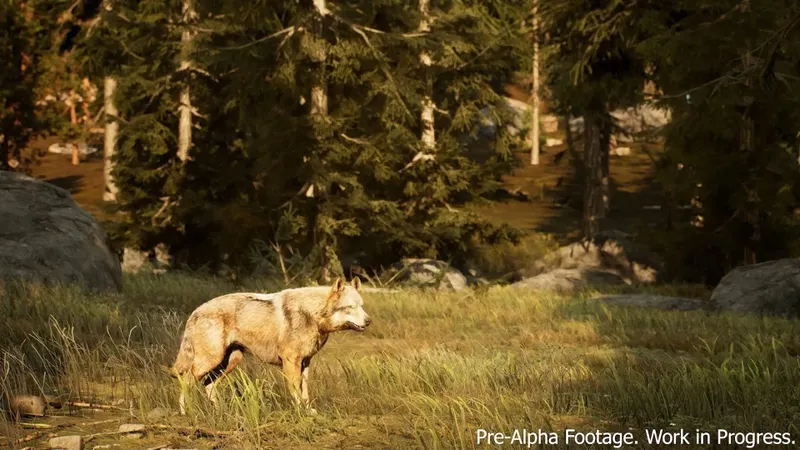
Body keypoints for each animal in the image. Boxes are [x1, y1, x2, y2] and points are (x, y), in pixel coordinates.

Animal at [171, 277, 371, 415]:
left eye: (361, 305)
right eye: (350, 307)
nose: (369, 321)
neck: (312, 314)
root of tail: (195, 311)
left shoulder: (305, 362)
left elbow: (305, 391)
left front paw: (308, 411)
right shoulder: (291, 361)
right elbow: (295, 391)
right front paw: (300, 413)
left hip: (229, 362)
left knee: (208, 385)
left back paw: (221, 412)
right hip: (209, 361)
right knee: (186, 382)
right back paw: (186, 412)